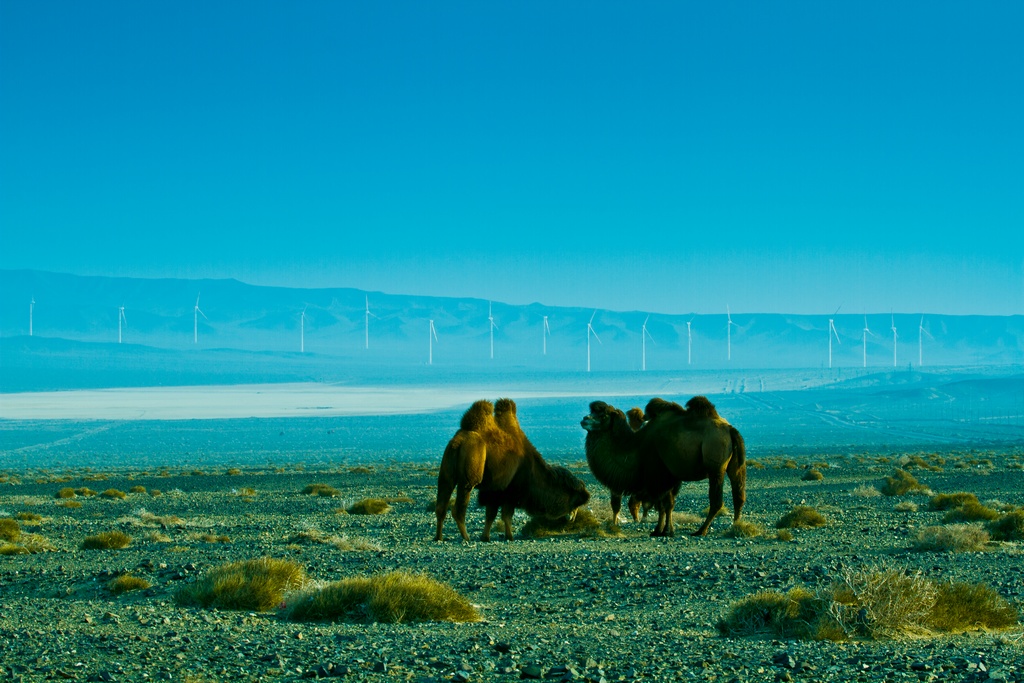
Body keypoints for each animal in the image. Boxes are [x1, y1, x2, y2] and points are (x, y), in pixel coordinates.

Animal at [434, 397, 593, 540]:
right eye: (576, 501)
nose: (572, 518)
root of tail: (458, 441)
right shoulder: (511, 490)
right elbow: (506, 515)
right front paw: (509, 536)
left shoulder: (494, 490)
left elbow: (491, 515)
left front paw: (486, 537)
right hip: (470, 474)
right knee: (459, 506)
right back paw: (466, 537)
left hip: (446, 472)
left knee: (441, 504)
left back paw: (439, 537)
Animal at [585, 397, 745, 536]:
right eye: (592, 412)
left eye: (603, 415)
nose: (584, 419)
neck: (637, 446)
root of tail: (731, 430)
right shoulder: (670, 477)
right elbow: (668, 504)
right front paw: (666, 530)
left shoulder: (659, 474)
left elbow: (662, 504)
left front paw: (660, 531)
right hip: (735, 466)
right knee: (738, 495)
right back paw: (736, 526)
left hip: (715, 465)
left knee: (717, 500)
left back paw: (701, 530)